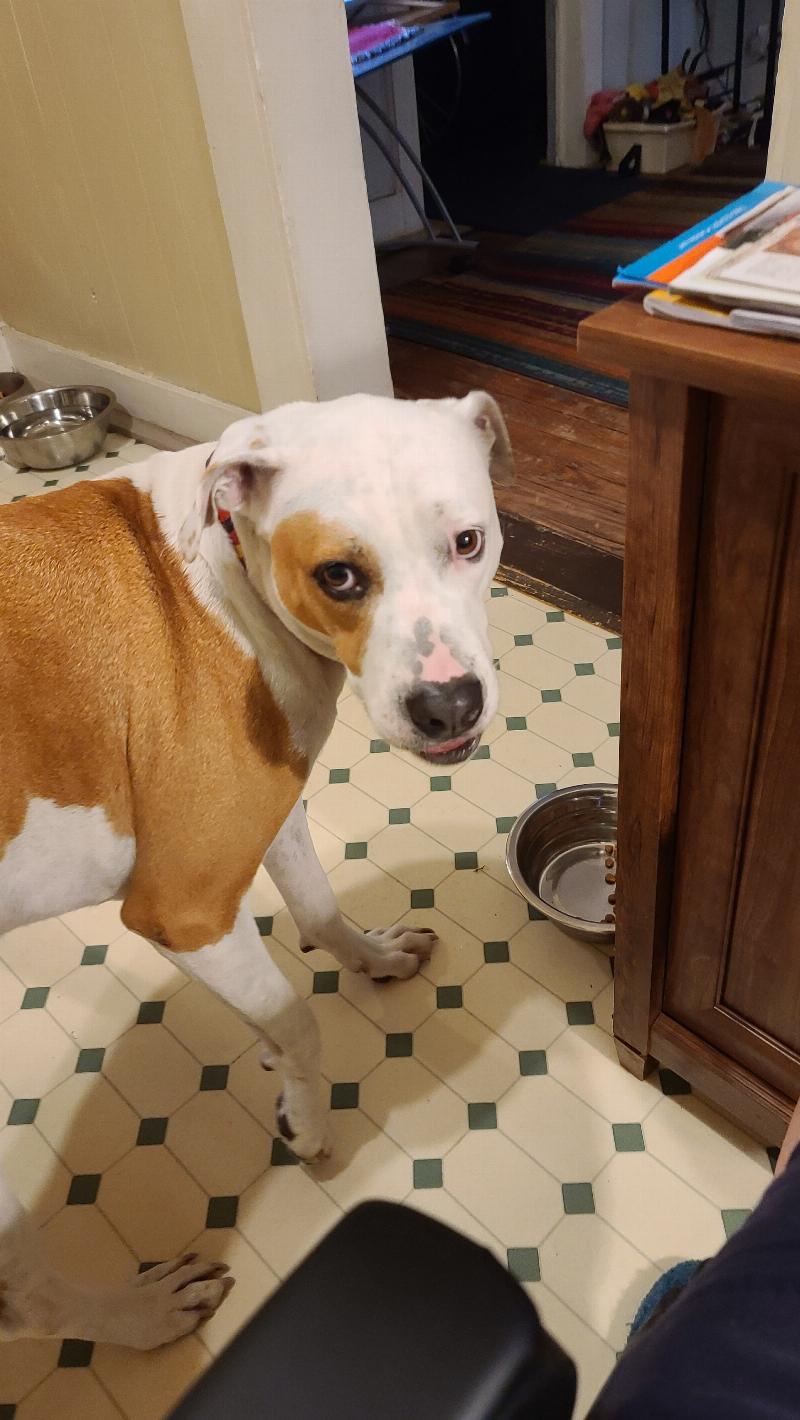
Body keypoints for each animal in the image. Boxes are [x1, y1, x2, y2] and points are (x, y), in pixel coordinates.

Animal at [0, 390, 513, 1349]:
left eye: (469, 541)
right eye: (339, 576)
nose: (448, 704)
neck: (224, 580)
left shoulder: (274, 816)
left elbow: (316, 918)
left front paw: (370, 963)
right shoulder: (188, 910)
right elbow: (299, 1018)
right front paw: (306, 1121)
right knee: (28, 1300)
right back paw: (139, 1314)